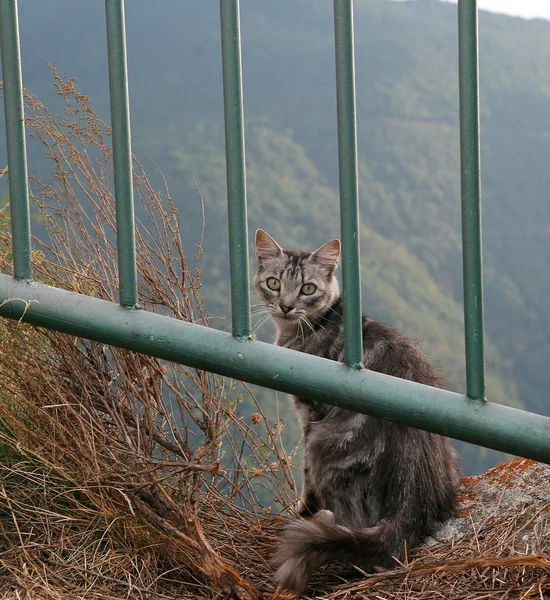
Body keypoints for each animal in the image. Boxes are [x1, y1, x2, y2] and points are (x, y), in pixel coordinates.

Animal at [254, 230, 462, 596]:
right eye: (274, 283)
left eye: (308, 289)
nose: (286, 305)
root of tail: (411, 507)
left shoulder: (310, 414)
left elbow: (306, 483)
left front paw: (301, 513)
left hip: (324, 443)